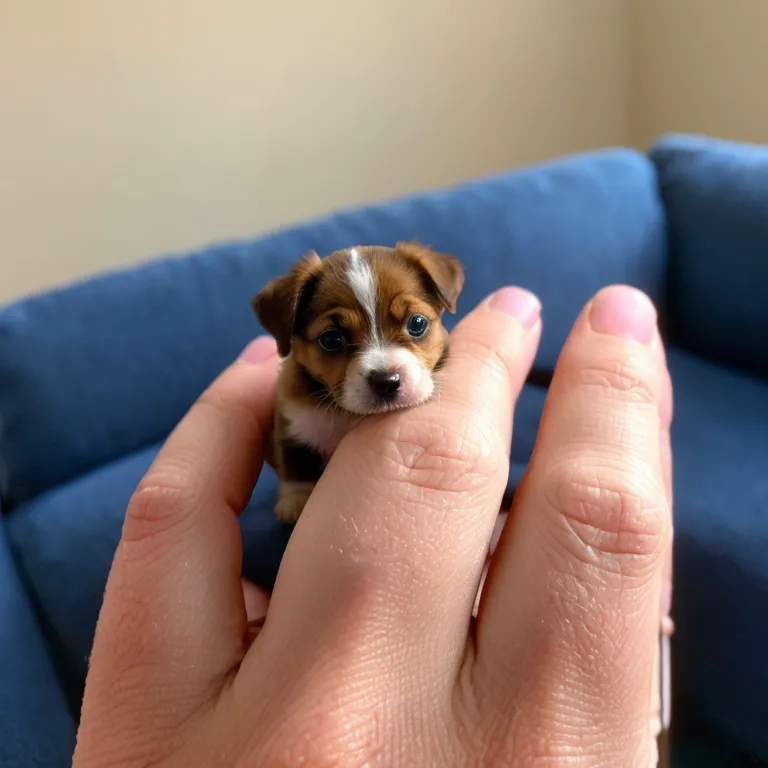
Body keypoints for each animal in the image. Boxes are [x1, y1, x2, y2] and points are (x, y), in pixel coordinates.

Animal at [255, 243, 464, 524]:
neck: (348, 413)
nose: (387, 382)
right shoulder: (293, 422)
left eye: (417, 323)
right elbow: (297, 461)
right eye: (331, 339)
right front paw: (296, 500)